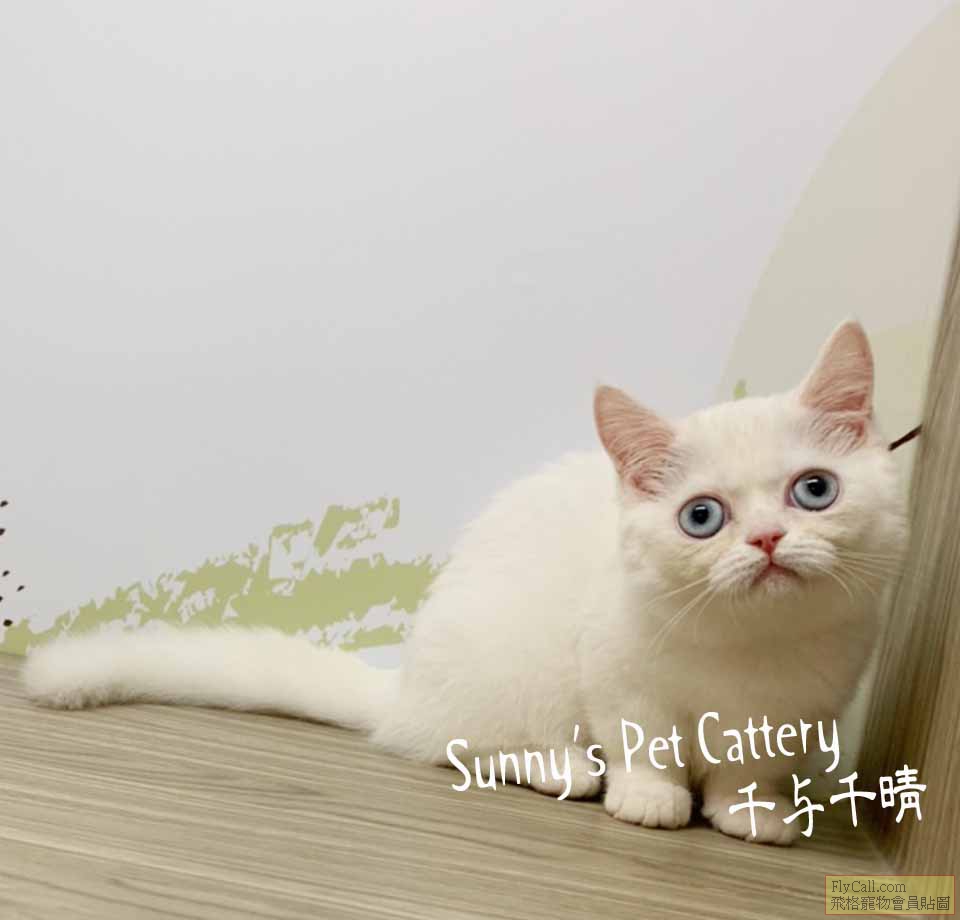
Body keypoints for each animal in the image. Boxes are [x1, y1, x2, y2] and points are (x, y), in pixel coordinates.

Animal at [22, 320, 906, 845]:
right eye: (701, 517)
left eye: (814, 490)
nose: (766, 539)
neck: (751, 650)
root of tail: (406, 688)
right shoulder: (615, 672)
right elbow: (643, 737)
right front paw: (652, 795)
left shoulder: (800, 709)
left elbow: (749, 766)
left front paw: (749, 808)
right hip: (513, 667)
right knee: (458, 746)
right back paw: (562, 768)